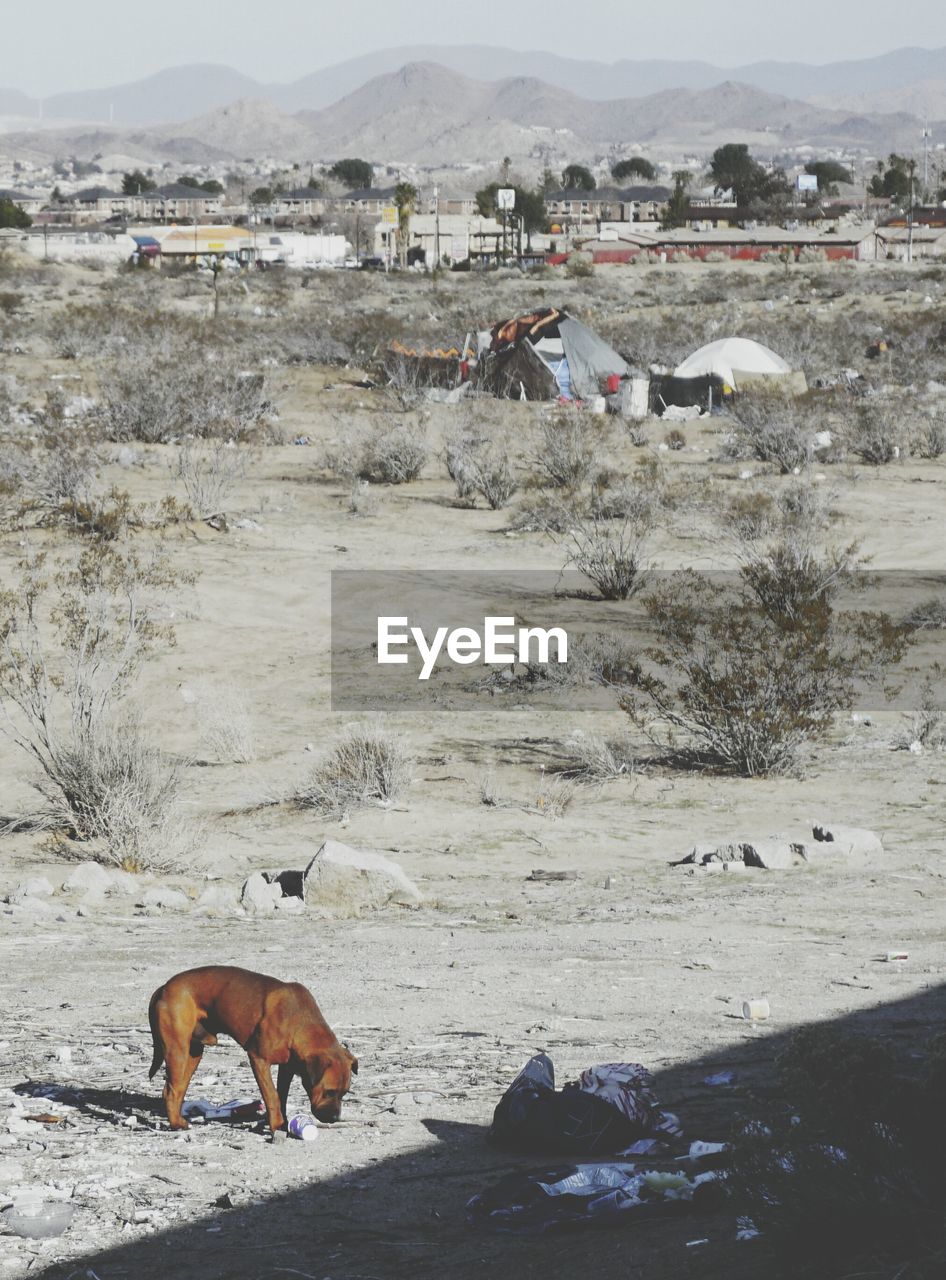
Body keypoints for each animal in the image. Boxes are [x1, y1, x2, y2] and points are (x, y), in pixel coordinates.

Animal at [147, 962, 358, 1136]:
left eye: (344, 1093)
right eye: (329, 1092)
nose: (334, 1119)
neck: (297, 1022)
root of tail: (164, 987)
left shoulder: (286, 1068)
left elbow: (281, 1096)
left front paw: (281, 1123)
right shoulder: (258, 1059)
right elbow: (272, 1096)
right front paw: (276, 1126)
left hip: (193, 1053)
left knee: (174, 1089)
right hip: (178, 1051)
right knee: (172, 1091)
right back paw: (176, 1124)